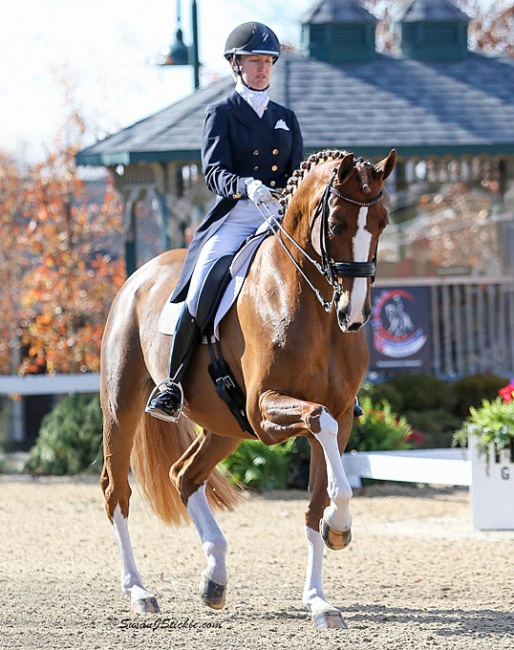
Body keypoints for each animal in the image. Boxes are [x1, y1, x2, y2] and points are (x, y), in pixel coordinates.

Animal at [100, 148, 396, 628]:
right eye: (336, 225)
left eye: (383, 222)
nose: (353, 316)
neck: (312, 307)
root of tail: (139, 275)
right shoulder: (265, 411)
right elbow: (319, 423)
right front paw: (340, 528)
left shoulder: (339, 412)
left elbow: (316, 500)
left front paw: (319, 595)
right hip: (123, 408)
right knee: (117, 491)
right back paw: (139, 591)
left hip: (225, 427)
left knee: (184, 475)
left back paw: (214, 577)